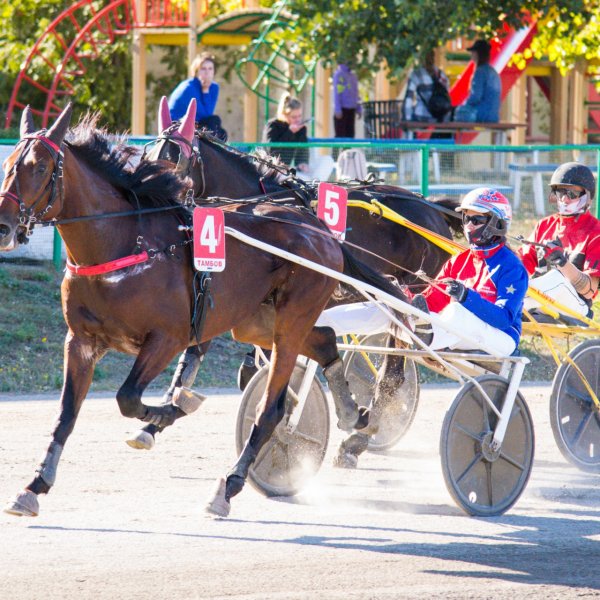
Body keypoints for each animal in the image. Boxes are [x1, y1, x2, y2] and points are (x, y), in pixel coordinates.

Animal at [0, 105, 408, 516]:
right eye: (8, 164)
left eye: (39, 166)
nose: (3, 225)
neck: (126, 244)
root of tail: (319, 228)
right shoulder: (81, 342)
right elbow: (66, 415)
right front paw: (35, 485)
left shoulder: (167, 337)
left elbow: (128, 397)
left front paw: (168, 409)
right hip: (257, 321)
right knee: (324, 340)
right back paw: (352, 412)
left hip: (293, 319)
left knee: (273, 408)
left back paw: (230, 483)